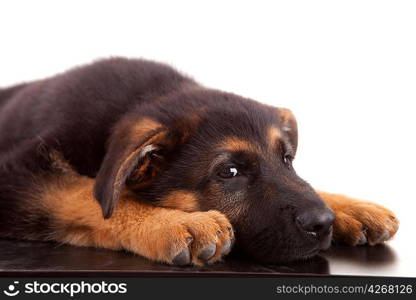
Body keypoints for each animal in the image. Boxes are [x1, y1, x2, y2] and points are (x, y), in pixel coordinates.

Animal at [0, 58, 398, 264]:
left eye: (287, 160)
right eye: (229, 172)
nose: (323, 222)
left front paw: (351, 207)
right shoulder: (17, 173)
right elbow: (86, 195)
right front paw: (176, 223)